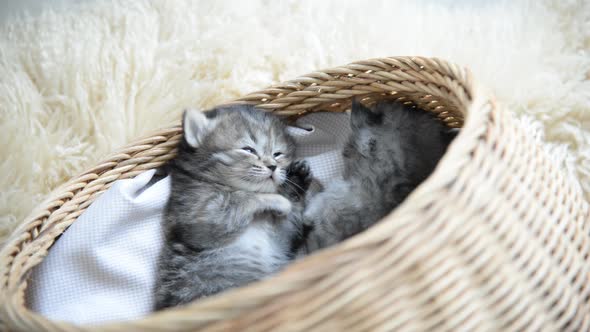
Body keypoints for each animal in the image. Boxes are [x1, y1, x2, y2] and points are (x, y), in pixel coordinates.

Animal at [154, 105, 314, 310]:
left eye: (278, 153)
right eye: (248, 149)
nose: (273, 166)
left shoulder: (282, 236)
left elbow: (290, 222)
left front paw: (296, 179)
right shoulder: (198, 214)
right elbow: (245, 198)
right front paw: (279, 200)